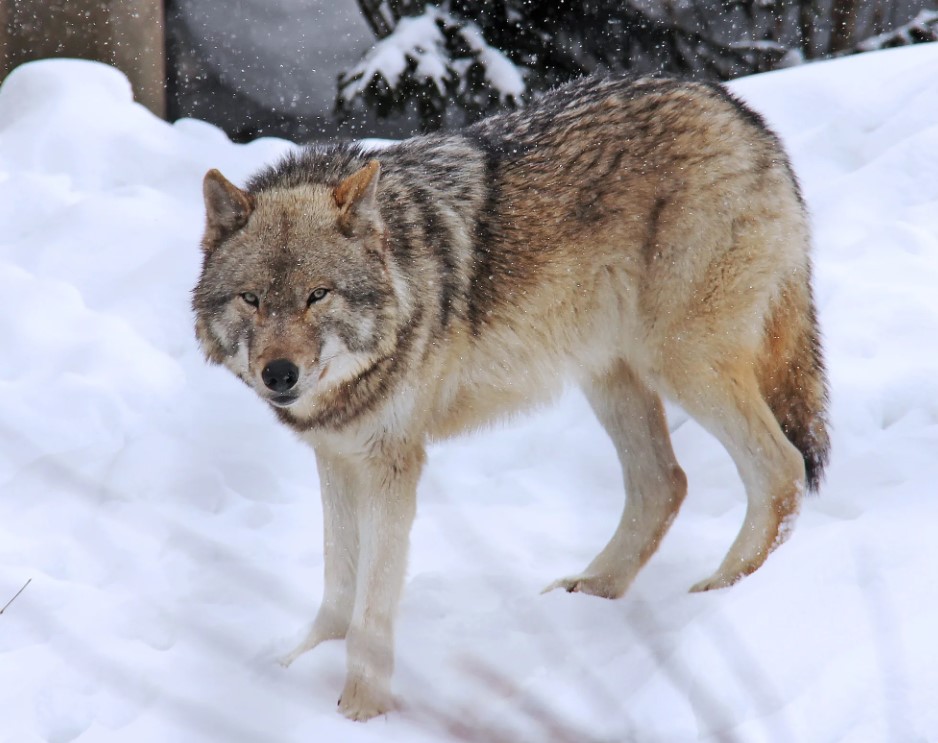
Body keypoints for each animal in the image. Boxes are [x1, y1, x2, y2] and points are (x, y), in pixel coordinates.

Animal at [190, 74, 828, 720]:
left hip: (682, 364)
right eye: (252, 299)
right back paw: (591, 591)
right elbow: (338, 582)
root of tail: (739, 112)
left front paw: (361, 710)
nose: (280, 375)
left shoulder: (393, 462)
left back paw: (723, 594)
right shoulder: (337, 457)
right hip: (610, 374)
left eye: (318, 295)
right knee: (664, 484)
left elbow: (373, 597)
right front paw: (304, 668)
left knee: (781, 468)